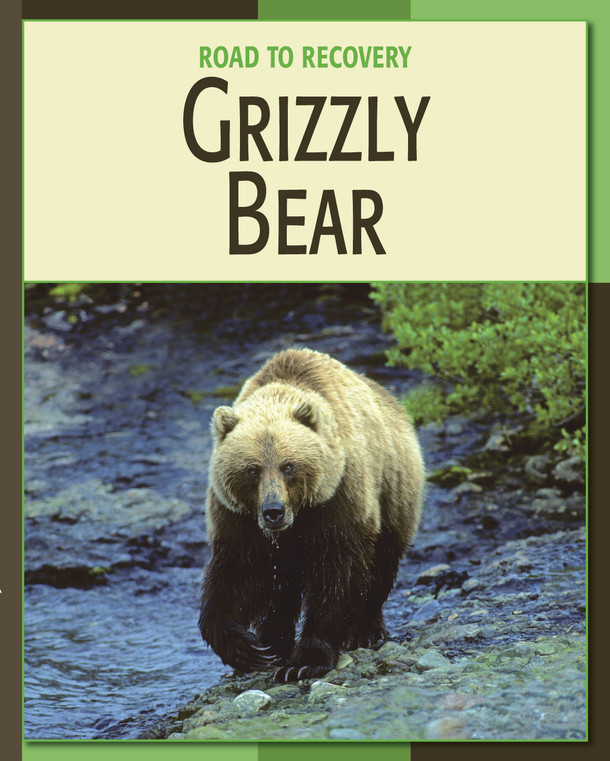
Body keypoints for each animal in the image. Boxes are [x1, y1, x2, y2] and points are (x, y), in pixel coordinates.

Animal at [198, 348, 424, 682]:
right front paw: (246, 649)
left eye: (288, 466)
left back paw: (366, 630)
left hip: (394, 487)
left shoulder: (338, 499)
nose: (273, 512)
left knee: (382, 560)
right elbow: (237, 575)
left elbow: (337, 575)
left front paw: (306, 659)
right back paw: (273, 641)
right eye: (252, 470)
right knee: (282, 589)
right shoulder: (237, 518)